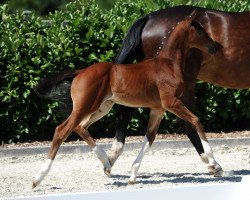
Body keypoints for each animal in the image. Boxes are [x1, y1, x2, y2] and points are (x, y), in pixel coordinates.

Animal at [33, 12, 223, 188]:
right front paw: (215, 164)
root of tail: (80, 71)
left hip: (102, 107)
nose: (215, 46)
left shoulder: (158, 109)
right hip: (84, 106)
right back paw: (38, 178)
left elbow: (149, 138)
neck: (168, 64)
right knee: (62, 130)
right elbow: (196, 121)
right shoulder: (172, 103)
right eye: (200, 29)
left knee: (80, 127)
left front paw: (132, 176)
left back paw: (107, 163)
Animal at [108, 4, 250, 170]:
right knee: (186, 121)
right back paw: (213, 163)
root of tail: (148, 17)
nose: (216, 47)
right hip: (185, 81)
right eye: (200, 31)